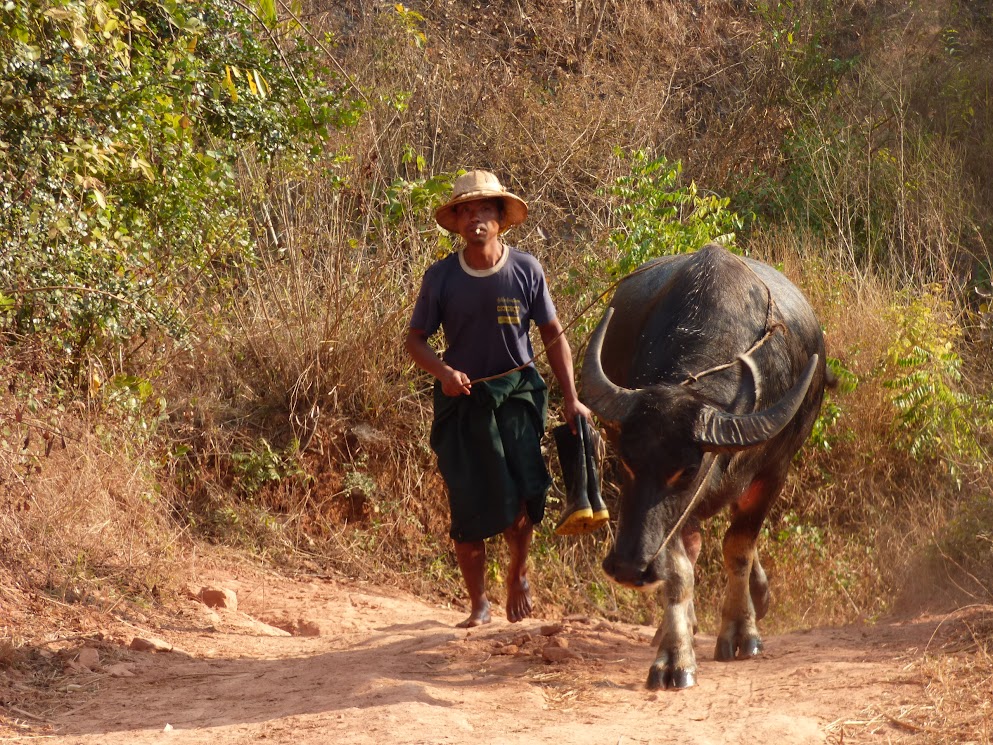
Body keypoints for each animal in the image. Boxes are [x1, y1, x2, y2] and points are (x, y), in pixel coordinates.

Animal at [584, 243, 824, 684]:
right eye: (625, 461)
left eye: (687, 470)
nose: (627, 567)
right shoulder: (673, 517)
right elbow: (679, 567)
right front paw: (674, 655)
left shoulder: (773, 473)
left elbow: (738, 548)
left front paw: (741, 631)